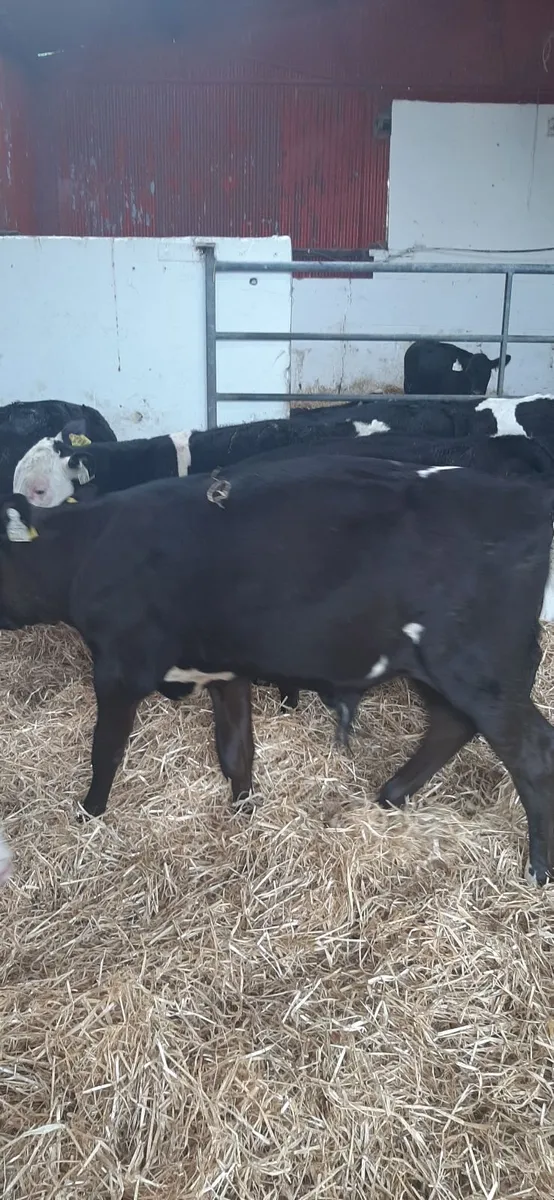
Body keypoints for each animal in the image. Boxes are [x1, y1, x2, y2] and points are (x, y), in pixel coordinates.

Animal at [1, 453, 554, 884]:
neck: (84, 548)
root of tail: (522, 498)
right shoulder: (224, 670)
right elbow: (235, 751)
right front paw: (244, 811)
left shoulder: (119, 669)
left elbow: (106, 752)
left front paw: (88, 815)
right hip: (437, 671)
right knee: (450, 725)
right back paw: (390, 795)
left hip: (478, 669)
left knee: (531, 753)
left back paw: (537, 869)